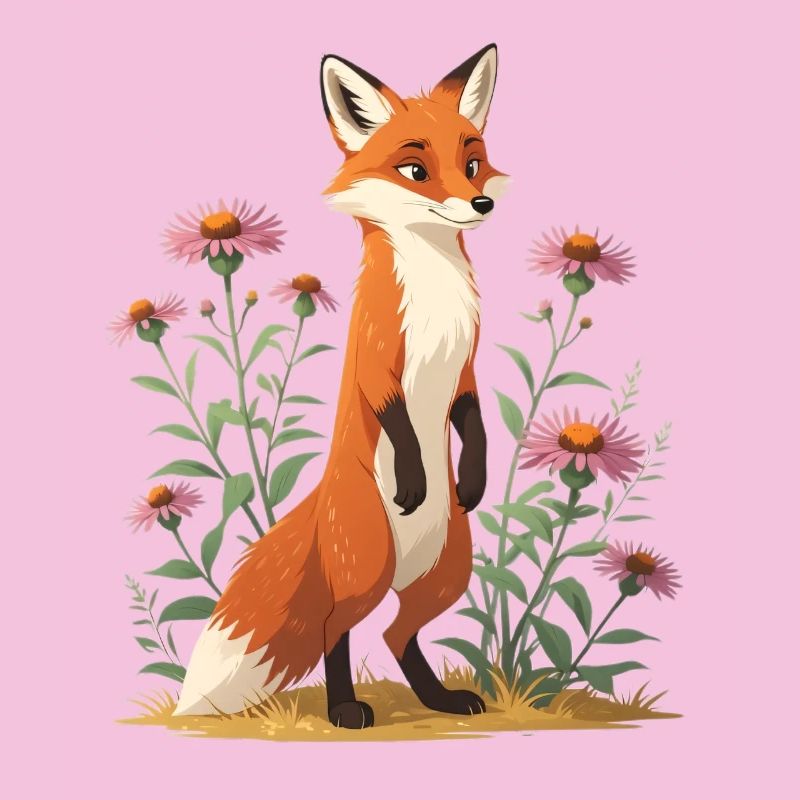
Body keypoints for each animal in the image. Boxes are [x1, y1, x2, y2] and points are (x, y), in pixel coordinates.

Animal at [174, 44, 508, 728]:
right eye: (415, 169)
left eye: (472, 164)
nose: (480, 205)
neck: (435, 294)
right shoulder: (378, 362)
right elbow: (399, 419)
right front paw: (414, 478)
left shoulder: (465, 369)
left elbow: (473, 421)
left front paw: (474, 479)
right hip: (370, 566)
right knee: (338, 629)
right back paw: (345, 708)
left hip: (446, 576)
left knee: (396, 634)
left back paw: (439, 699)